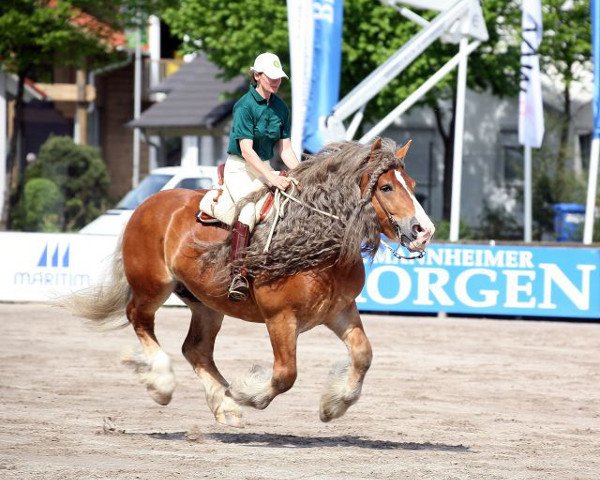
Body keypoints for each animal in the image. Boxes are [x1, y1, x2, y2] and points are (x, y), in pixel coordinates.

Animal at [61, 139, 434, 428]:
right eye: (386, 187)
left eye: (414, 185)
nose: (424, 231)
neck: (312, 239)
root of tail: (146, 204)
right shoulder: (280, 318)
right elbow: (285, 374)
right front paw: (246, 392)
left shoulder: (338, 311)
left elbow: (363, 355)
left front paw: (333, 405)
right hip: (152, 286)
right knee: (139, 319)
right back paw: (163, 383)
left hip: (205, 304)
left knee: (195, 349)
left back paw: (224, 405)